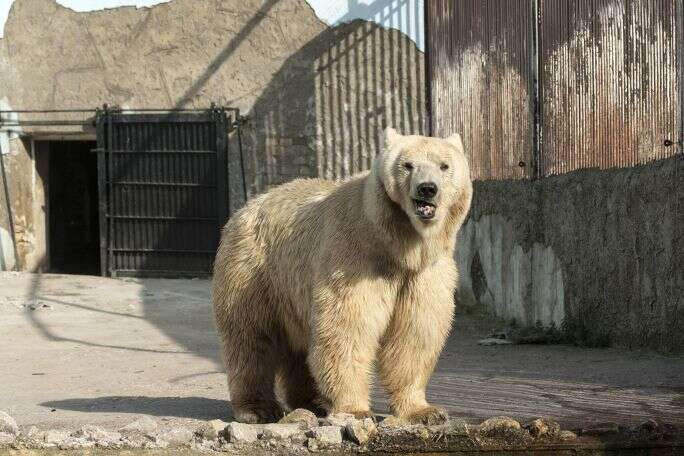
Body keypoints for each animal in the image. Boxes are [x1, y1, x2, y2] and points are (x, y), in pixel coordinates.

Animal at [212, 127, 470, 424]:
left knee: (297, 346)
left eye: (444, 166)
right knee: (251, 336)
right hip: (254, 269)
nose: (427, 188)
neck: (397, 245)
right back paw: (257, 408)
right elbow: (347, 328)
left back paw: (311, 401)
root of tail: (246, 207)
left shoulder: (424, 273)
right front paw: (355, 410)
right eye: (407, 165)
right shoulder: (353, 259)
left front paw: (425, 411)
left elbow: (414, 335)